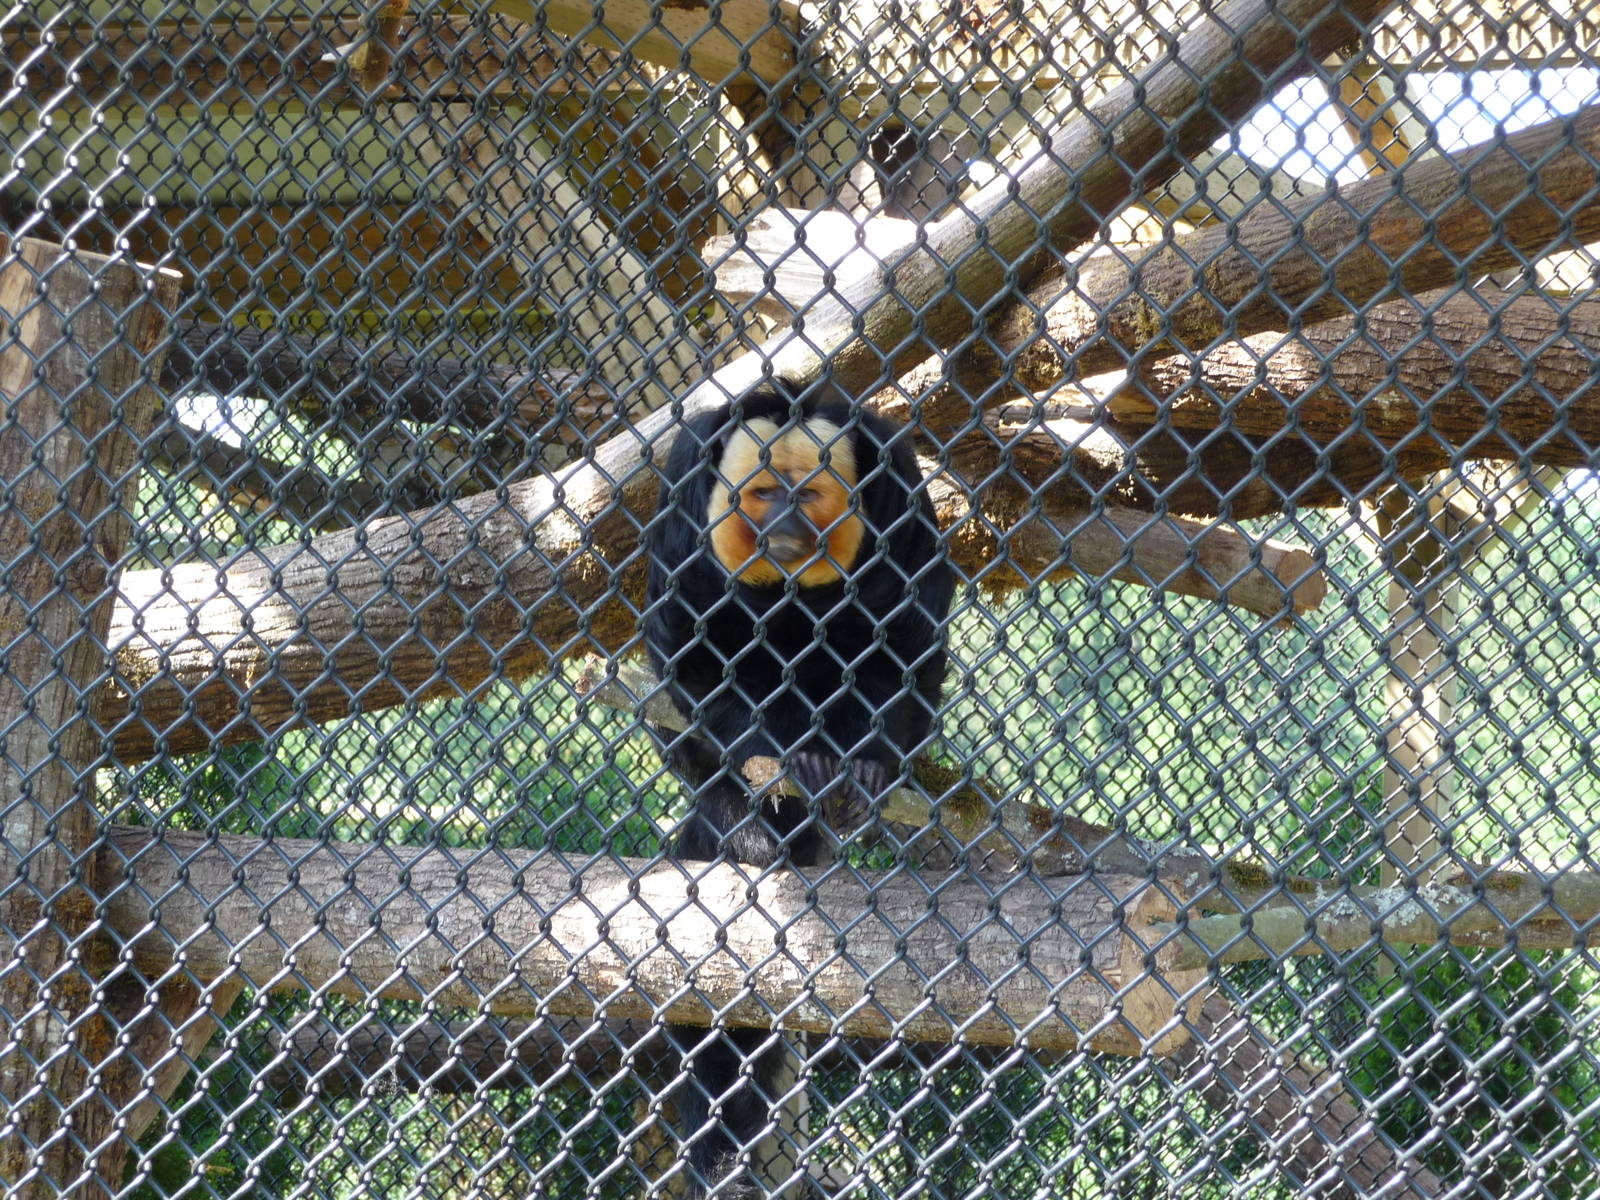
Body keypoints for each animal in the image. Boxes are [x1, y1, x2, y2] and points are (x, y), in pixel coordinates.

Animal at [642, 376, 954, 1198]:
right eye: (760, 493)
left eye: (806, 494)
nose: (780, 525)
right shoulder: (687, 482)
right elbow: (692, 654)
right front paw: (784, 756)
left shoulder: (899, 483)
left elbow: (905, 644)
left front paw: (863, 767)